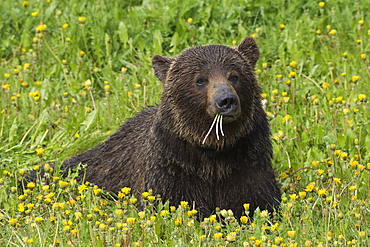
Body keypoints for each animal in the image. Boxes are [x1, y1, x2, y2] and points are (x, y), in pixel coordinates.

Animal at [31, 36, 282, 218]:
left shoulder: (248, 161)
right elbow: (167, 203)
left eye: (235, 75)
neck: (213, 153)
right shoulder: (172, 166)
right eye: (200, 80)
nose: (226, 100)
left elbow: (258, 202)